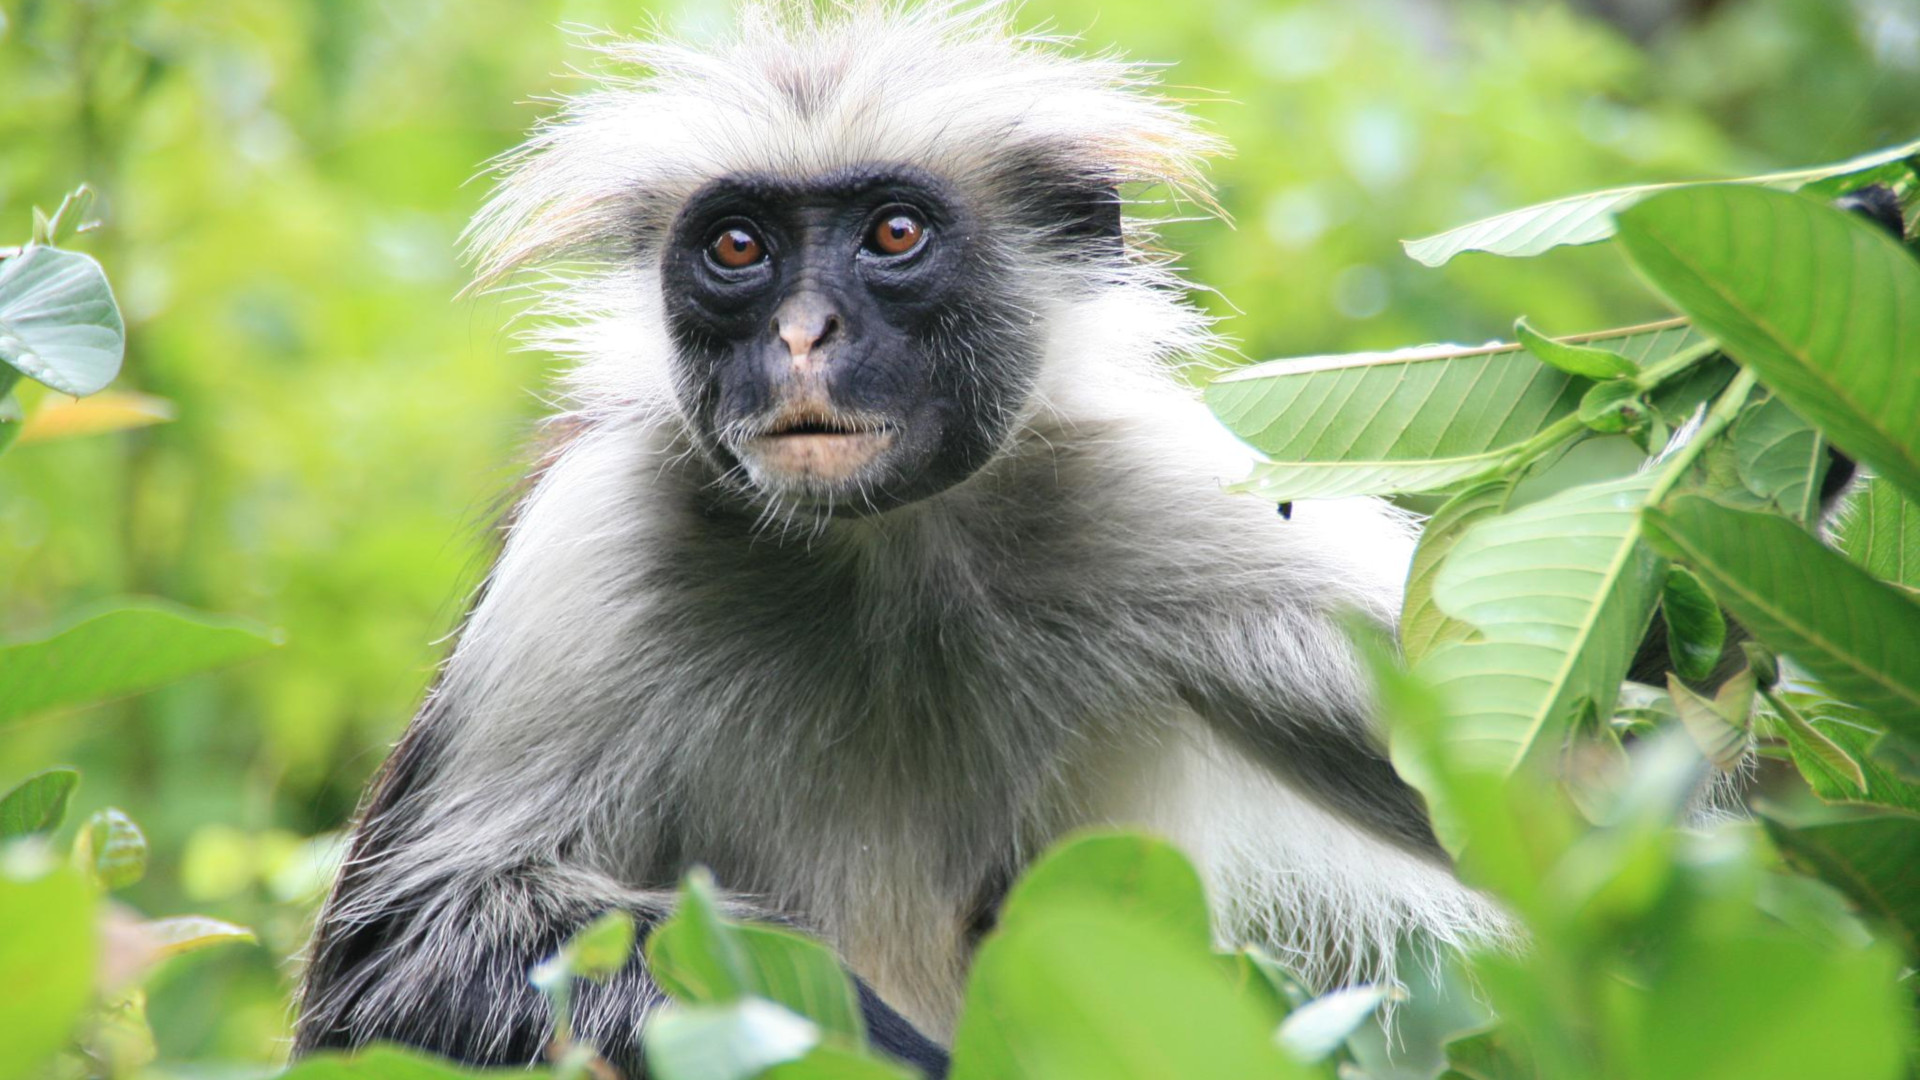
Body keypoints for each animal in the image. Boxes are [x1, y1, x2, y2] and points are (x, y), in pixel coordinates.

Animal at [291, 4, 1505, 1068]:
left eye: (895, 234)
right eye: (739, 247)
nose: (801, 334)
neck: (882, 549)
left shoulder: (1167, 497)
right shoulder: (598, 538)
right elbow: (405, 964)